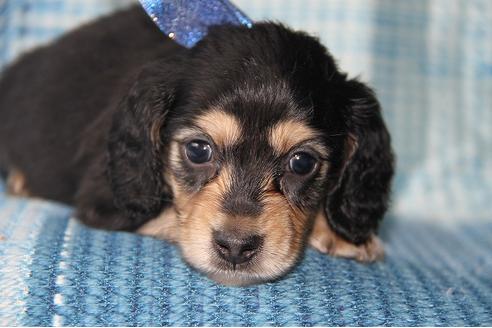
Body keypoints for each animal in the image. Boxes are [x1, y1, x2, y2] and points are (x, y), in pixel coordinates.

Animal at [0, 6, 392, 286]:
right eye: (198, 151)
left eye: (302, 163)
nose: (235, 248)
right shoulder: (103, 201)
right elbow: (174, 216)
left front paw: (340, 232)